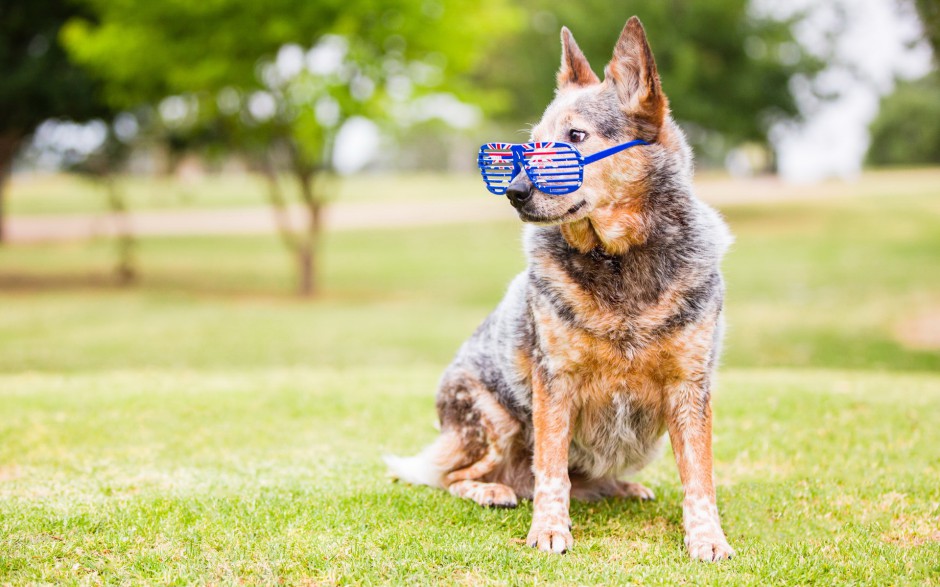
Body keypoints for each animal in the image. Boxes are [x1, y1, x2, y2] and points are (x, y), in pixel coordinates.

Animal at [384, 16, 736, 564]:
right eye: (531, 145)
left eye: (575, 136)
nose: (514, 192)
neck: (619, 261)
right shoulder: (555, 381)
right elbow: (550, 471)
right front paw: (549, 530)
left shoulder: (689, 386)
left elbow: (700, 477)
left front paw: (707, 538)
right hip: (493, 419)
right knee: (453, 476)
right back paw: (493, 490)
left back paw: (620, 487)